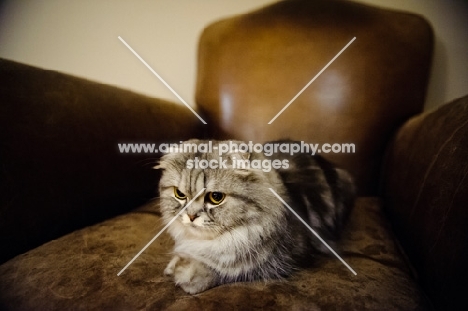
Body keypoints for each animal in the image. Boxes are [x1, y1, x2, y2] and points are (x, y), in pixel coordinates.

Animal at [156, 140, 354, 294]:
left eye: (216, 197)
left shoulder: (285, 260)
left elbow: (230, 270)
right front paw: (174, 265)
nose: (190, 216)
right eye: (180, 194)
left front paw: (187, 274)